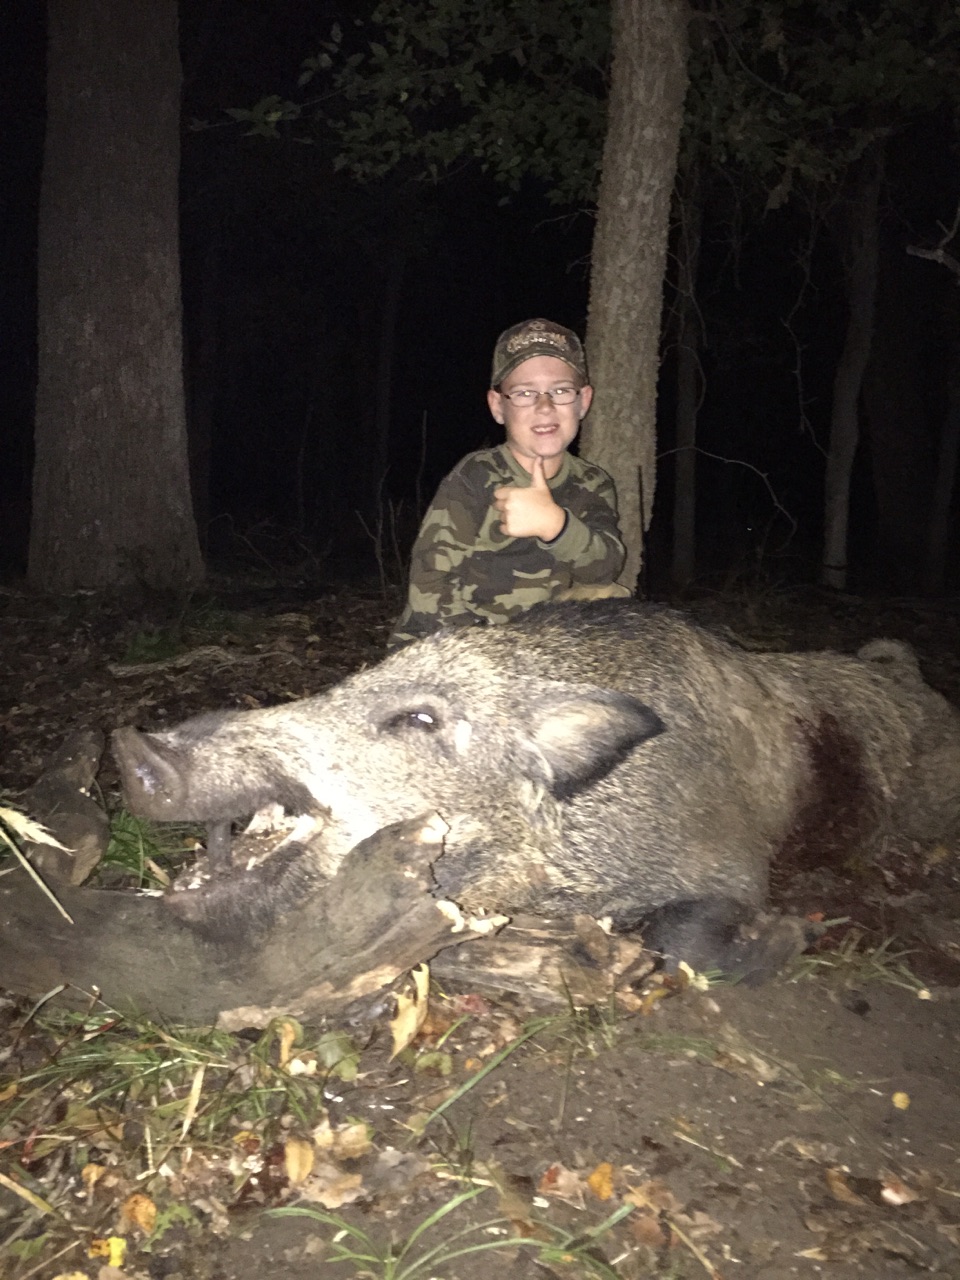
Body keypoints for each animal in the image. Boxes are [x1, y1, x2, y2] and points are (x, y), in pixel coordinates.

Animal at [112, 600, 960, 976]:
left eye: (419, 718)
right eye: (344, 686)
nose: (133, 746)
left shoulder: (734, 866)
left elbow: (681, 938)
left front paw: (798, 933)